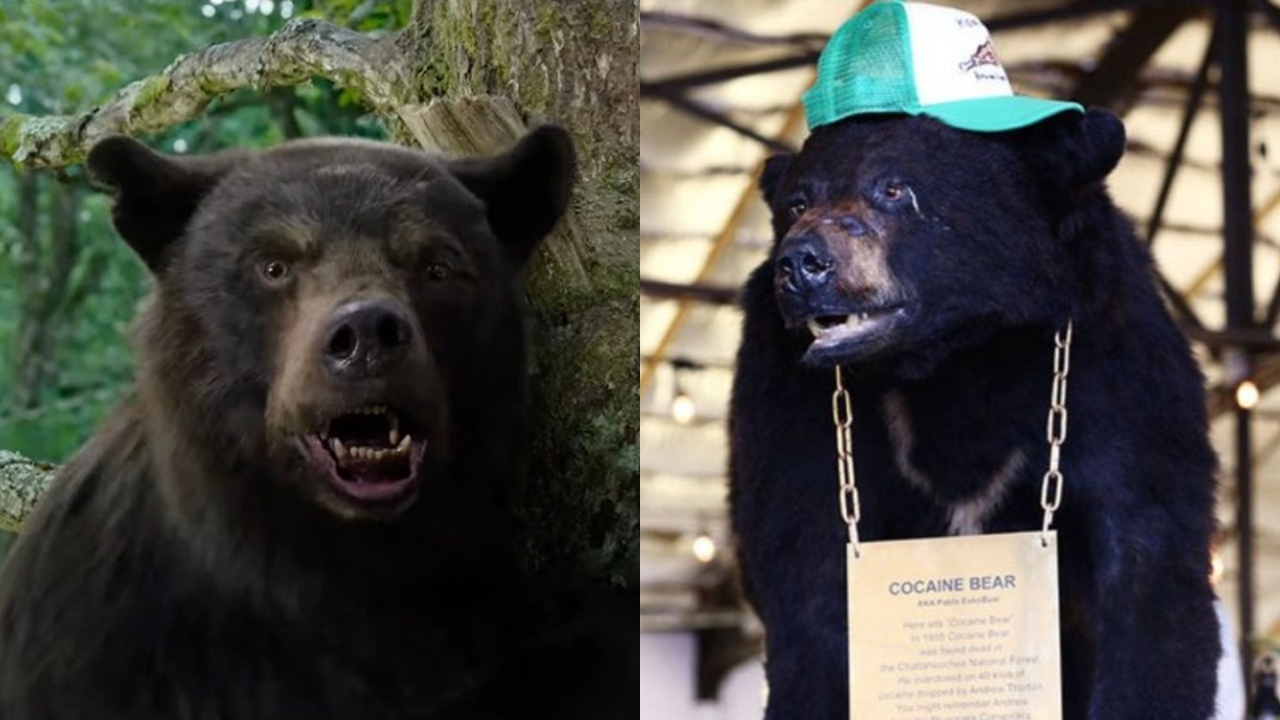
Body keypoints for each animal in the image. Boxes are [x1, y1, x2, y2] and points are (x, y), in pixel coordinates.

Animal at [729, 108, 1220, 719]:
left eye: (894, 189)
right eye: (797, 203)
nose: (801, 263)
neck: (956, 358)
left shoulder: (1116, 371)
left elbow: (1146, 562)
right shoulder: (787, 398)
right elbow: (808, 573)